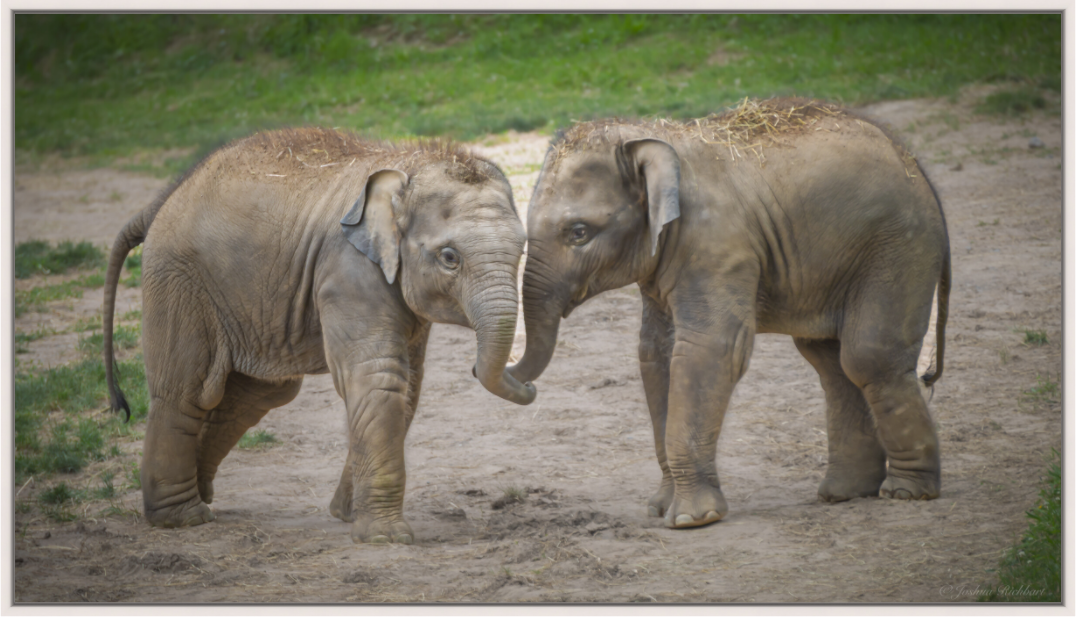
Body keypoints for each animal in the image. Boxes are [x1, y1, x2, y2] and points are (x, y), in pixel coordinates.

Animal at [102, 128, 535, 544]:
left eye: (522, 250)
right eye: (449, 258)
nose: (529, 386)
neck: (408, 167)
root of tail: (163, 199)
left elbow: (407, 386)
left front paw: (348, 515)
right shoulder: (348, 271)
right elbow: (378, 377)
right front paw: (386, 538)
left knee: (260, 393)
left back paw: (202, 495)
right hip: (180, 279)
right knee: (187, 390)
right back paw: (183, 518)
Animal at [500, 98, 951, 530]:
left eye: (578, 233)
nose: (525, 386)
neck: (653, 138)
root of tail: (915, 163)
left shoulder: (716, 243)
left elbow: (709, 349)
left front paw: (691, 520)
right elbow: (655, 354)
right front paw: (660, 509)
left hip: (897, 247)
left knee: (867, 357)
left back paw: (907, 492)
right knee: (829, 361)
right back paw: (845, 493)